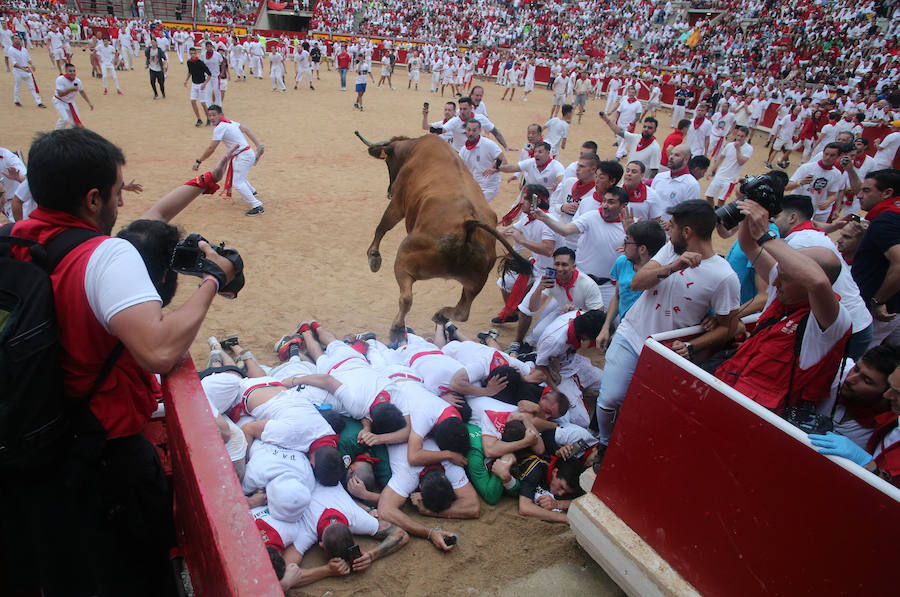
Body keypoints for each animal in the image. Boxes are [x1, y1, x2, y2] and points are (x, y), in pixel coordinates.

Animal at [356, 132, 532, 342]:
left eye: (388, 162)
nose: (389, 191)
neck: (414, 148)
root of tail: (468, 224)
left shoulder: (398, 203)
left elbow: (382, 227)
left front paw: (373, 256)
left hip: (405, 258)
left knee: (406, 298)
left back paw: (397, 328)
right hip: (475, 282)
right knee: (463, 311)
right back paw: (440, 314)